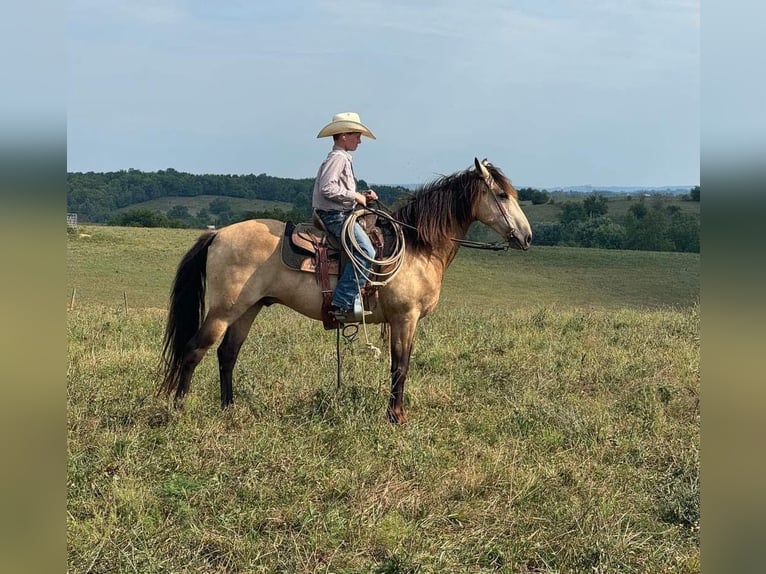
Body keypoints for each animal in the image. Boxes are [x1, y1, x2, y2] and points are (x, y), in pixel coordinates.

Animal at [159, 158, 532, 424]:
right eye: (502, 195)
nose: (527, 237)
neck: (418, 246)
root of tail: (217, 234)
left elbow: (401, 365)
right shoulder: (405, 317)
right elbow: (400, 366)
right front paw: (396, 417)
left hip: (248, 308)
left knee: (227, 355)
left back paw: (229, 410)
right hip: (223, 310)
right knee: (193, 351)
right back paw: (178, 411)